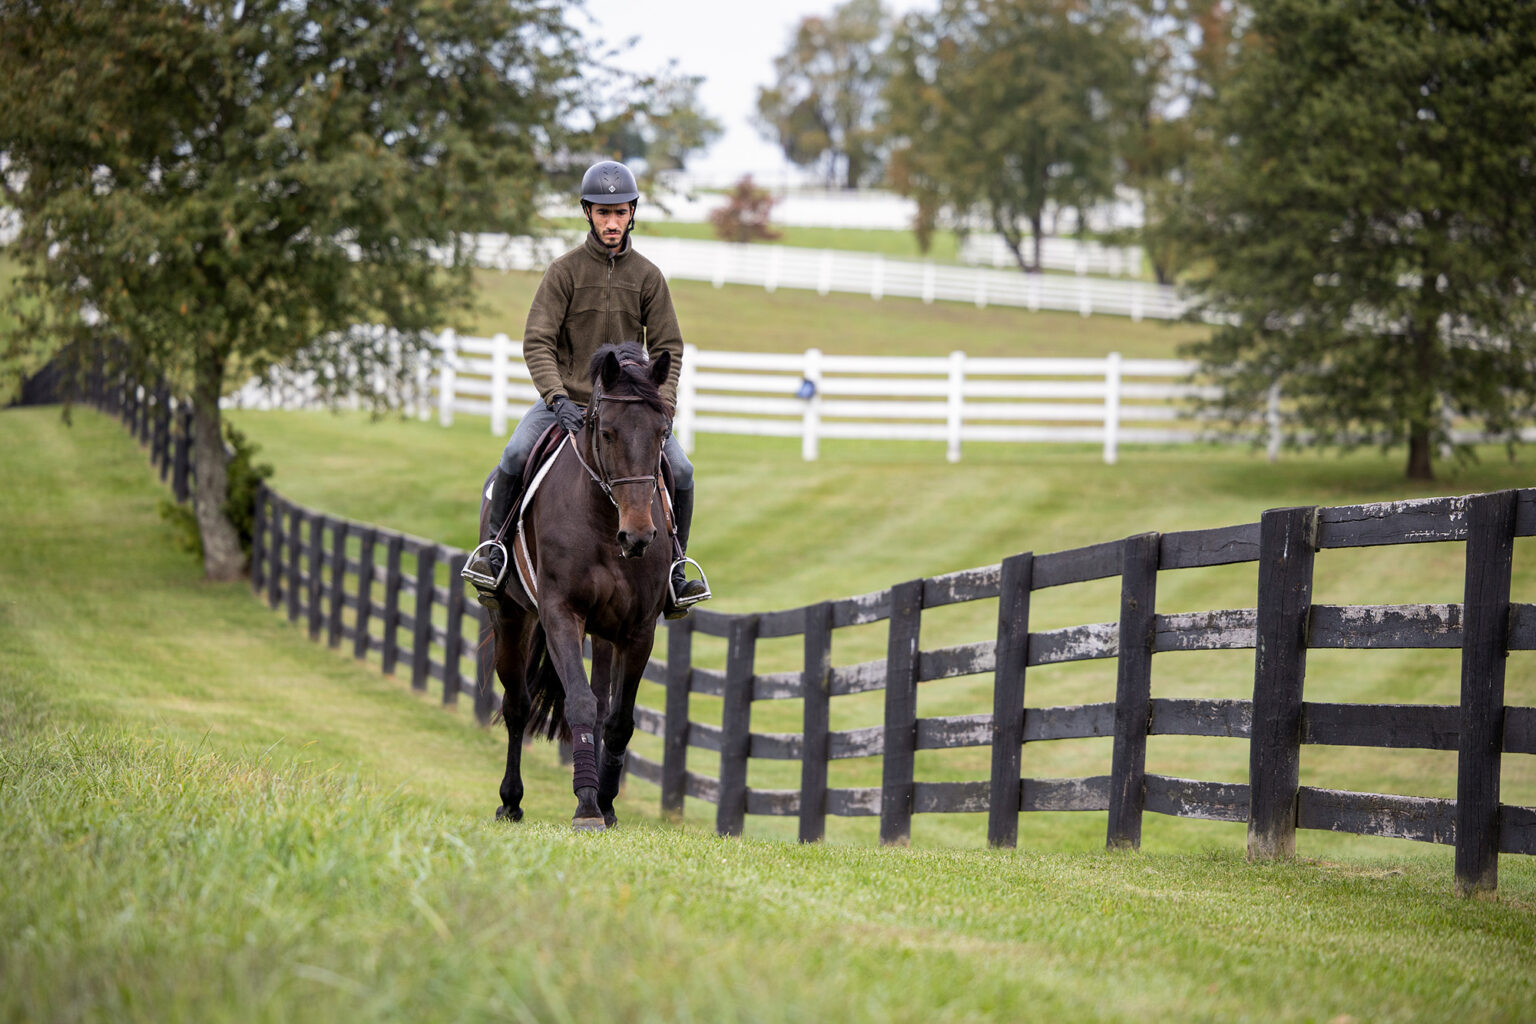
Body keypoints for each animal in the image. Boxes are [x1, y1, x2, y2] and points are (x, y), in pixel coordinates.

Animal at [476, 342, 675, 835]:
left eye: (662, 432)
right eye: (607, 433)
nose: (638, 536)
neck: (604, 523)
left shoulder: (638, 630)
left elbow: (618, 719)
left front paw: (605, 803)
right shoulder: (561, 615)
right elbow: (580, 704)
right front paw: (586, 806)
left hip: (603, 635)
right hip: (510, 618)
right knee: (518, 705)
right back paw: (510, 802)